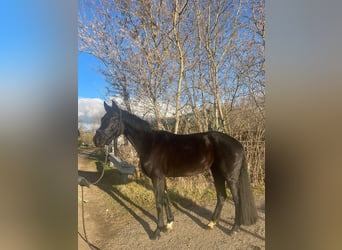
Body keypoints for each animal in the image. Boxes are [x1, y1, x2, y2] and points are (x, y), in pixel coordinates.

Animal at [93, 100, 256, 239]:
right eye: (102, 119)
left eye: (114, 119)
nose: (96, 140)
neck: (150, 144)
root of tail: (238, 144)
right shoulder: (162, 178)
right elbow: (166, 198)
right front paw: (169, 224)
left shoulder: (157, 178)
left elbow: (159, 202)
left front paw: (157, 231)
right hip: (216, 173)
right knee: (221, 196)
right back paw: (211, 223)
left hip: (230, 176)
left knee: (237, 199)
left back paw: (234, 228)